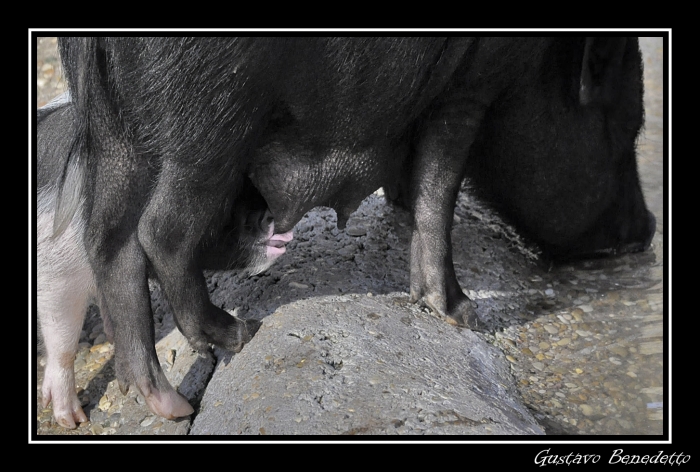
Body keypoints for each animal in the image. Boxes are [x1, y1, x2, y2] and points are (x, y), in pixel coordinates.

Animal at [45, 37, 656, 424]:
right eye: (626, 124)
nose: (648, 230)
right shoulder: (470, 83)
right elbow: (442, 182)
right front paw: (462, 314)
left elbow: (421, 181)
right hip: (207, 122)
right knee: (162, 231)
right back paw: (237, 334)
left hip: (117, 134)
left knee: (109, 241)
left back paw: (163, 401)